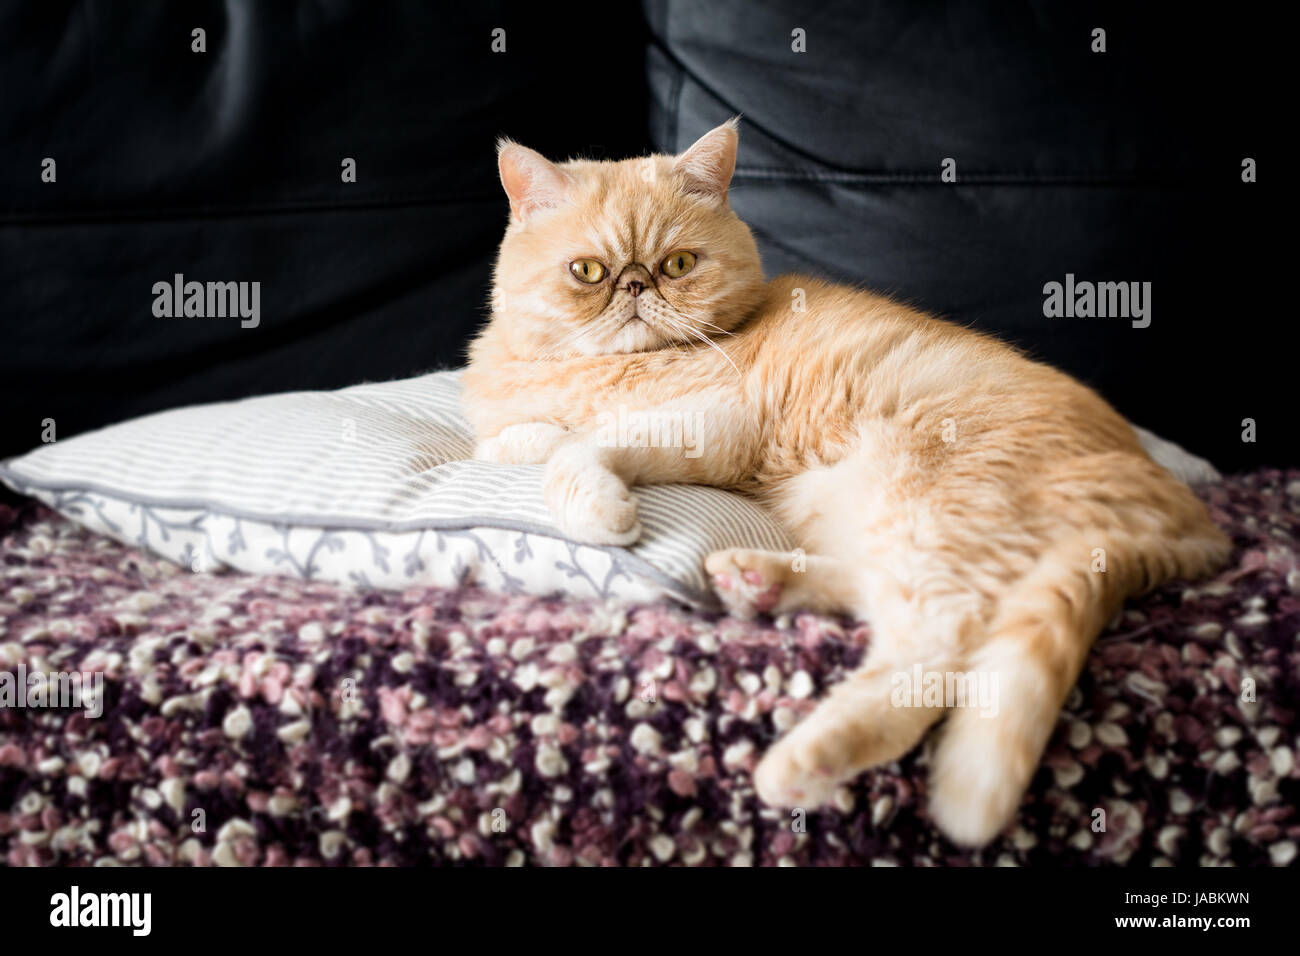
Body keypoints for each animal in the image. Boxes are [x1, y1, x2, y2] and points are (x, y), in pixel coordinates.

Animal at [462, 123, 1232, 848]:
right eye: (588, 271)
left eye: (677, 264)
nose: (634, 285)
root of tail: (1194, 522)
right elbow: (519, 442)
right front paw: (531, 441)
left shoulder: (718, 419)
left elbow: (579, 452)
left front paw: (600, 508)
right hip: (867, 512)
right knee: (878, 594)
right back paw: (758, 581)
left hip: (926, 501)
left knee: (935, 647)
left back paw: (802, 760)